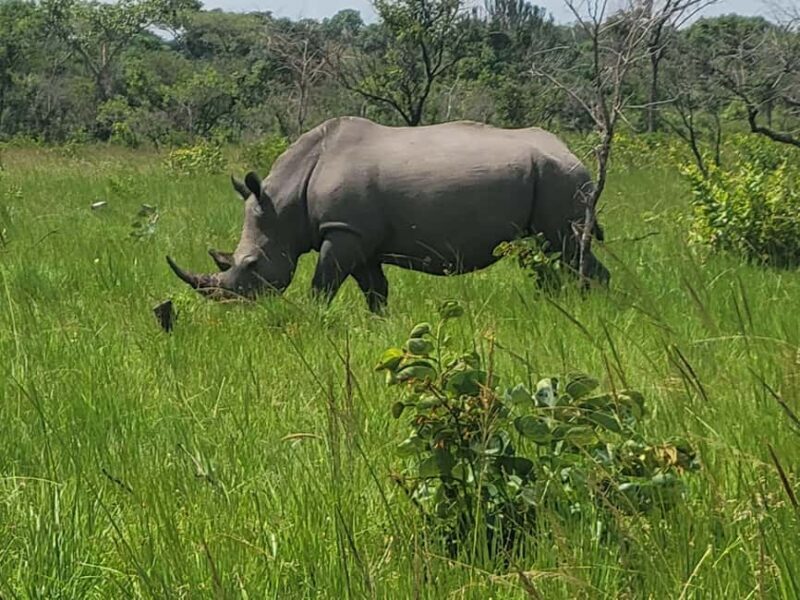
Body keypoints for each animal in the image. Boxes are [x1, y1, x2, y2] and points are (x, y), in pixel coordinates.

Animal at [167, 116, 609, 312]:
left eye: (252, 264)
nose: (233, 308)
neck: (285, 202)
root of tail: (572, 153)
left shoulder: (343, 232)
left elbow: (322, 284)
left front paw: (313, 319)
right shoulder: (358, 237)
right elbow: (374, 290)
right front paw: (379, 323)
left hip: (561, 178)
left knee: (566, 245)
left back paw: (591, 307)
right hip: (551, 176)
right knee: (548, 251)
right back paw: (553, 306)